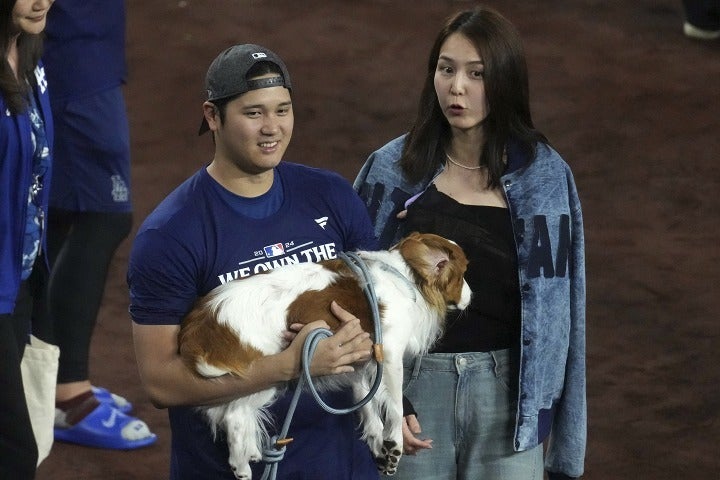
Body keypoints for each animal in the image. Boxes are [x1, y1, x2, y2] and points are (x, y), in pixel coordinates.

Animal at [179, 232, 472, 476]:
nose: (471, 294)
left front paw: (377, 441)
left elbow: (367, 402)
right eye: (462, 276)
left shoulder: (360, 360)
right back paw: (242, 468)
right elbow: (395, 407)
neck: (406, 278)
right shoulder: (388, 355)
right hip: (265, 375)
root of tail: (203, 321)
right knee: (234, 416)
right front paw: (393, 446)